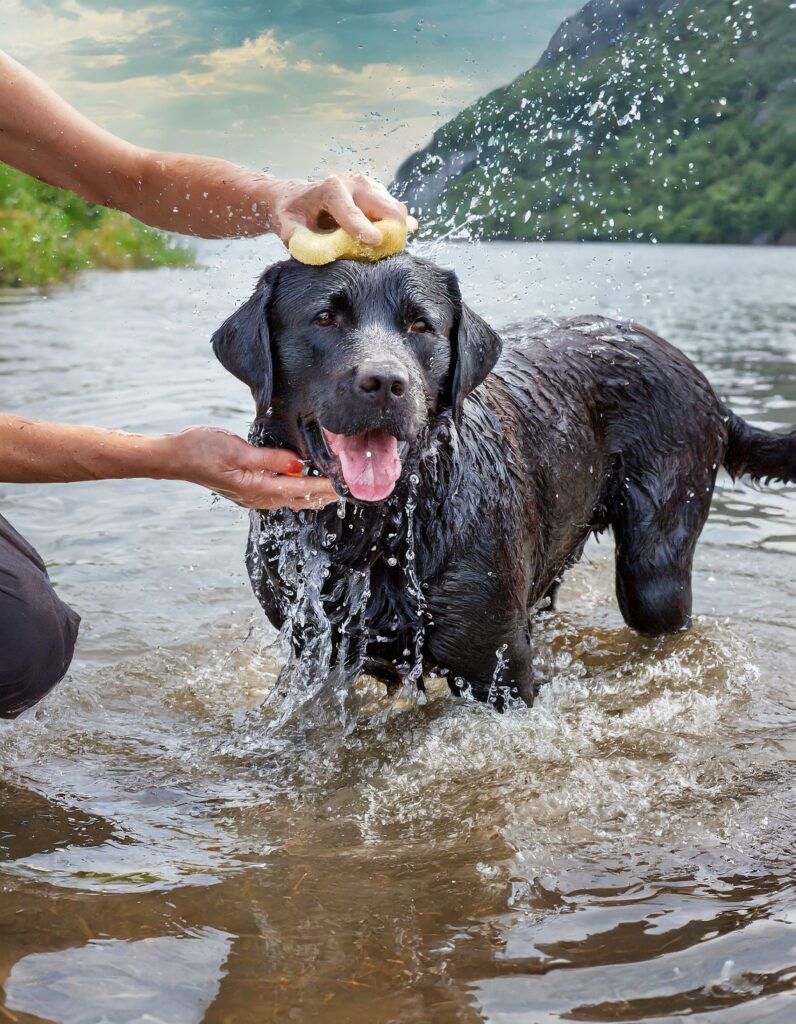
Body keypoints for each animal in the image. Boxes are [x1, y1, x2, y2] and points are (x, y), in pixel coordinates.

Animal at [213, 251, 794, 708]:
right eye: (325, 318)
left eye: (420, 326)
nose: (385, 382)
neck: (376, 530)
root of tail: (705, 384)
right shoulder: (316, 655)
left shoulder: (500, 670)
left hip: (655, 569)